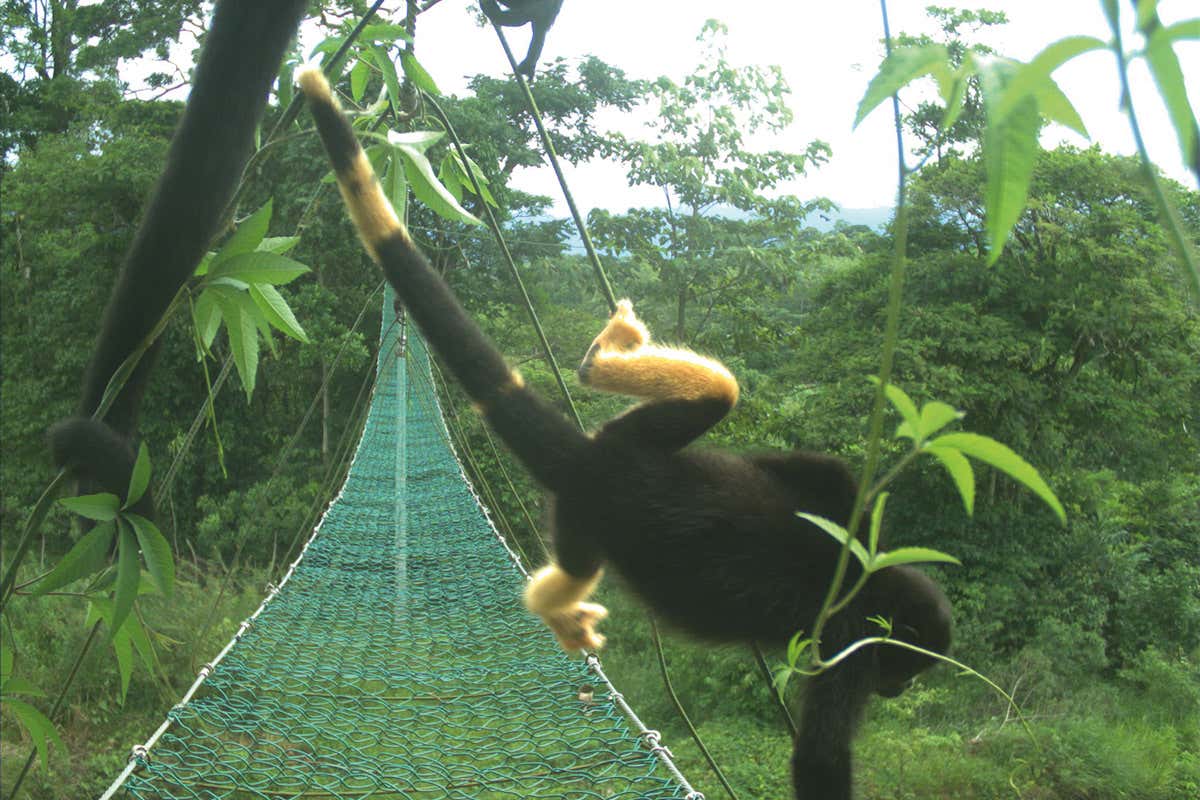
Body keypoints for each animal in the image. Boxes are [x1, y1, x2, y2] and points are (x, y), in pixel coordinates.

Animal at [297, 67, 952, 800]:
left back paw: (599, 360)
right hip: (582, 519)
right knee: (580, 565)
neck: (872, 585)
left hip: (630, 439)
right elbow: (819, 760)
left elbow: (822, 473)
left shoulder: (848, 530)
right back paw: (555, 608)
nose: (898, 693)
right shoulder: (850, 646)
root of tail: (592, 461)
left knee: (719, 393)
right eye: (904, 669)